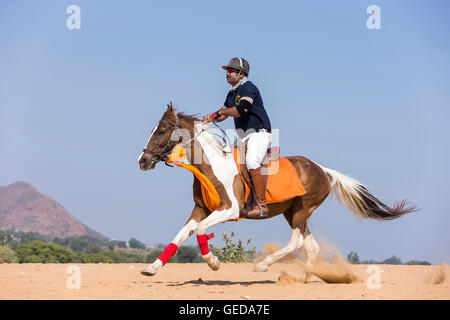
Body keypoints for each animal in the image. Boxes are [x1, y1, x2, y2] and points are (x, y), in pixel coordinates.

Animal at [138, 104, 418, 278]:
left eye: (162, 130)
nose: (142, 161)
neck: (211, 165)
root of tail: (323, 170)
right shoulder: (200, 209)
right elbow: (180, 235)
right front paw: (151, 268)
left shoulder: (229, 209)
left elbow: (201, 231)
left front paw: (214, 263)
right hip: (293, 212)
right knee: (310, 246)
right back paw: (303, 280)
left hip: (303, 208)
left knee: (296, 241)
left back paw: (263, 266)